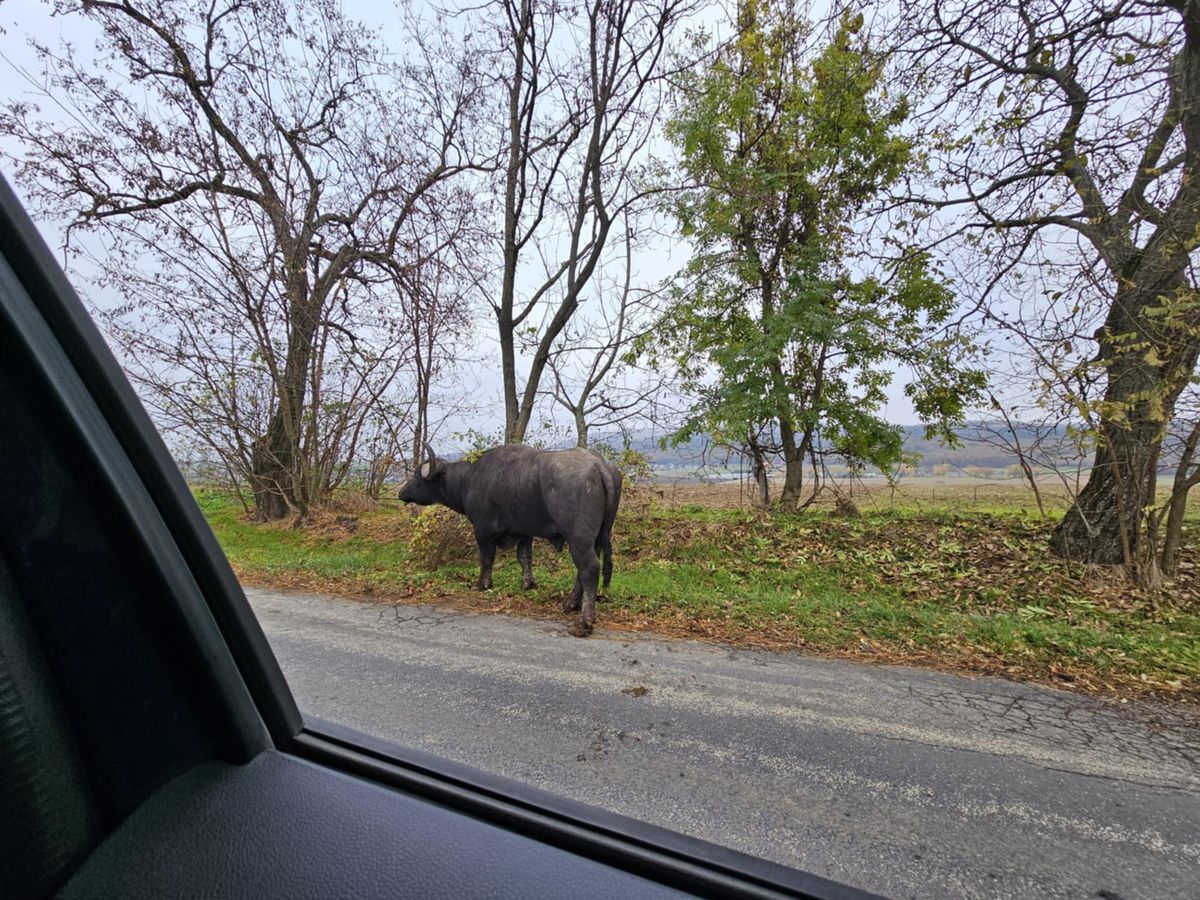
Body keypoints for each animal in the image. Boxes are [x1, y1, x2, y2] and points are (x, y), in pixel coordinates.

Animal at [398, 448, 624, 638]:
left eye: (417, 477)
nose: (401, 493)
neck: (470, 479)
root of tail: (598, 465)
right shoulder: (523, 533)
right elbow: (524, 558)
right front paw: (528, 584)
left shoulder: (483, 531)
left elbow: (486, 559)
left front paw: (482, 584)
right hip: (597, 537)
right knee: (584, 570)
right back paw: (570, 604)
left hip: (578, 538)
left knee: (589, 568)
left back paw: (584, 623)